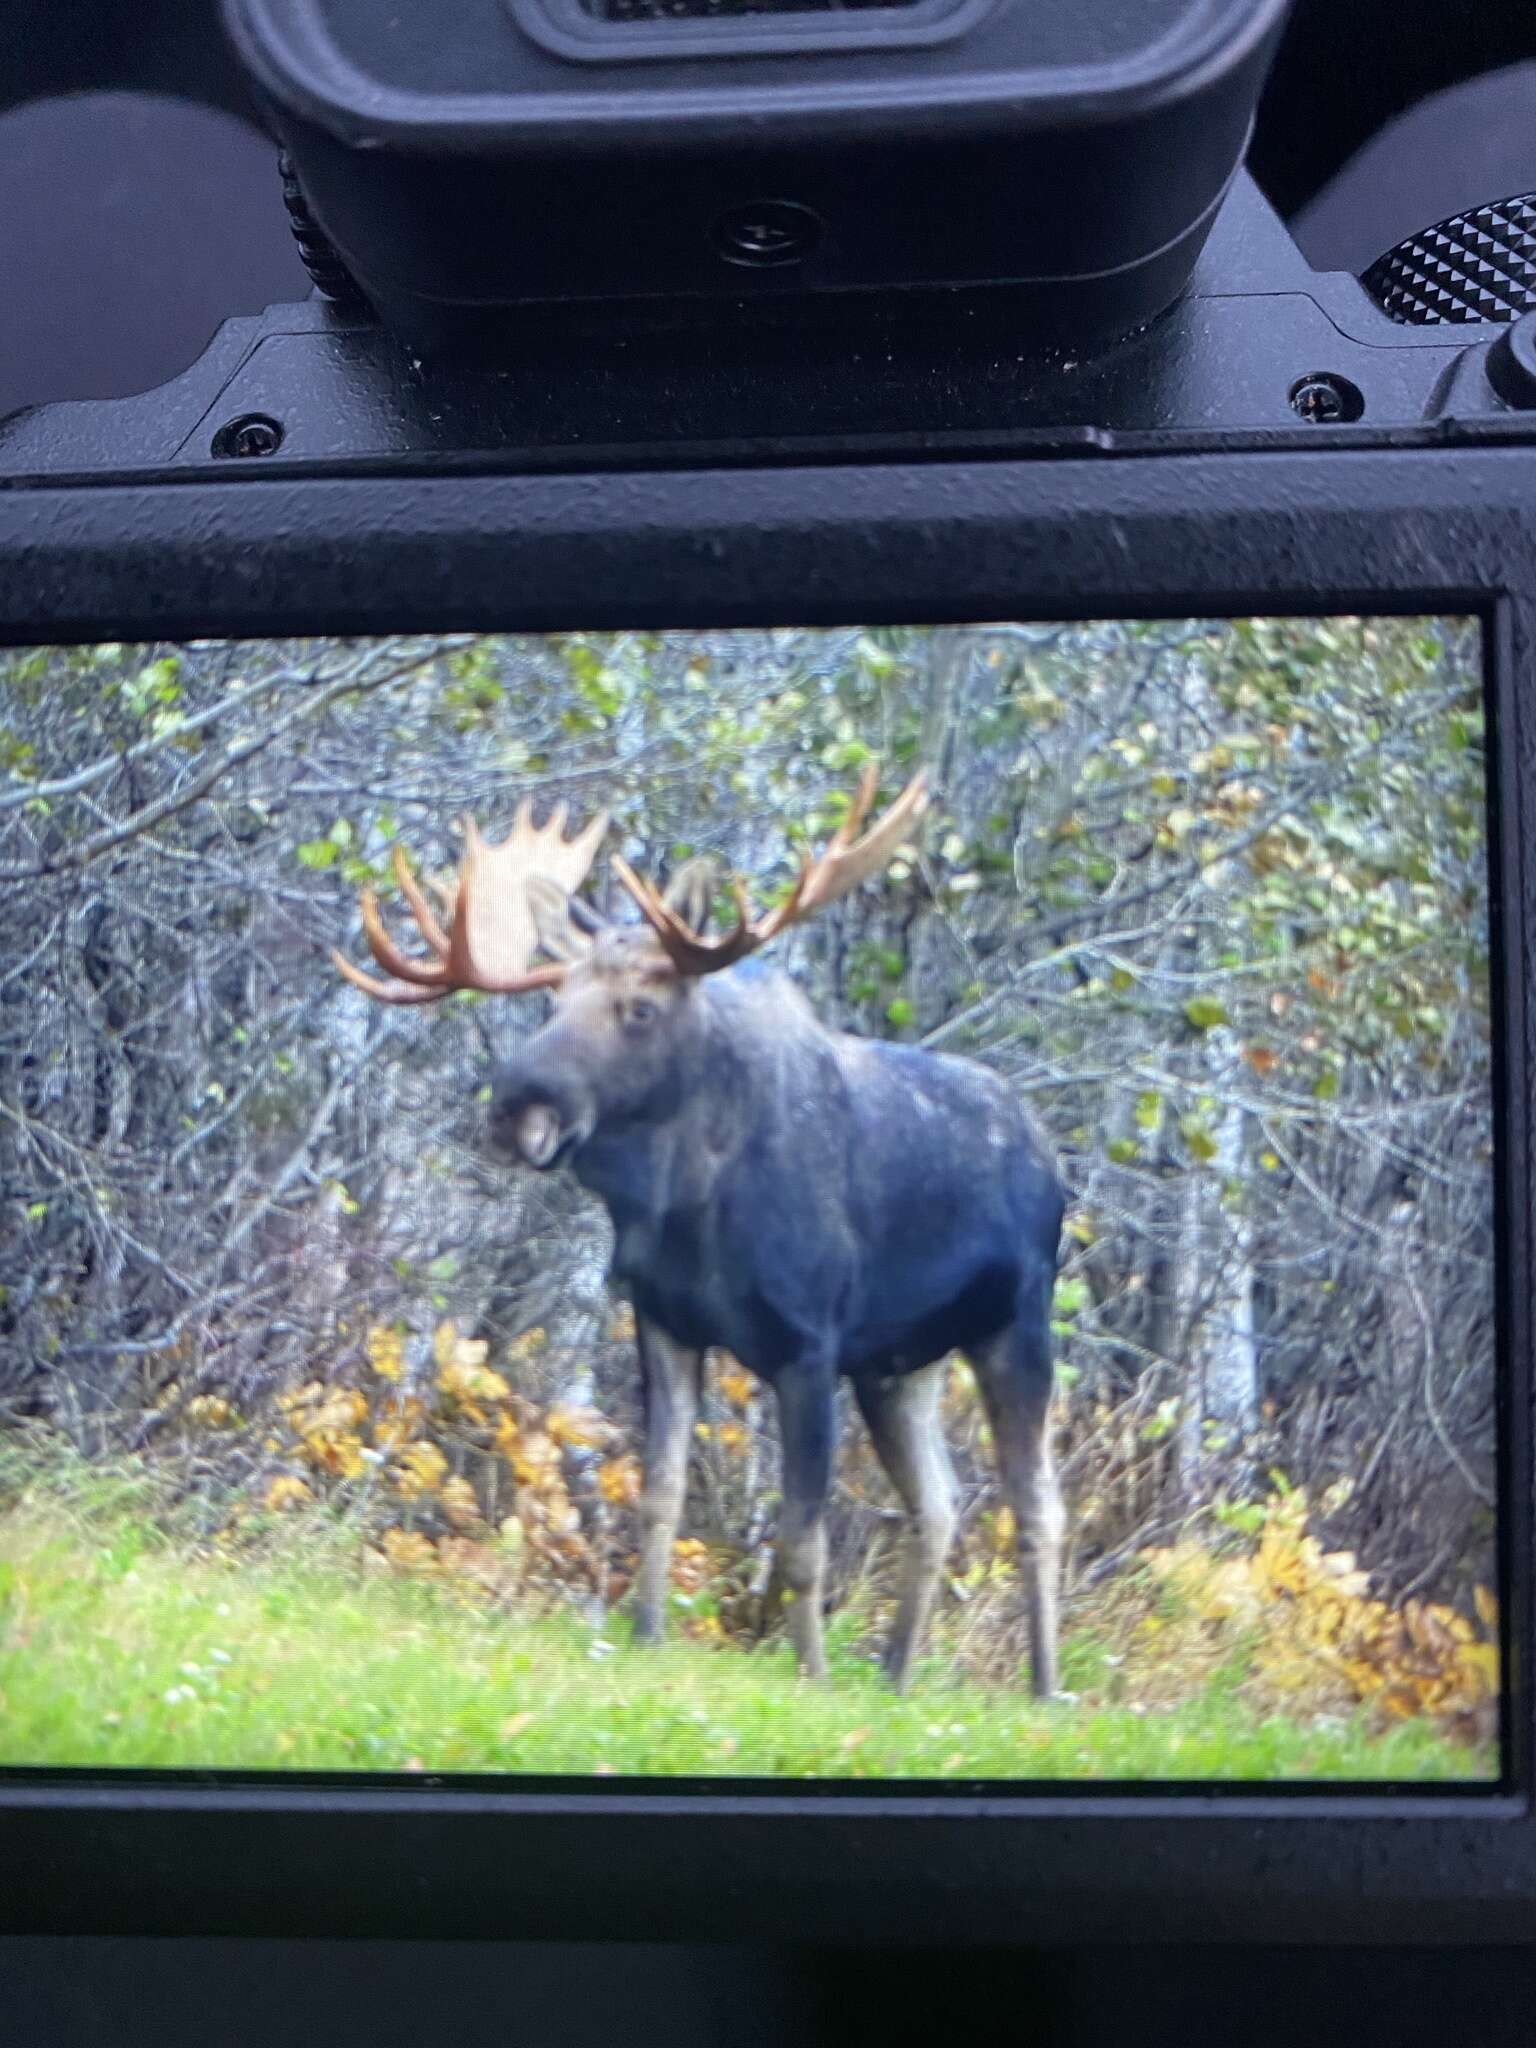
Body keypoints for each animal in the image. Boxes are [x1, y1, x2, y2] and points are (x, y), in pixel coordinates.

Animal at [331, 770, 1064, 1695]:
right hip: (899, 1366)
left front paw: (811, 1677)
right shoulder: (666, 1320)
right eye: (552, 997)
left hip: (1017, 1324)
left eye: (640, 1008)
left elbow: (800, 1540)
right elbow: (660, 1492)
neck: (687, 1211)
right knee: (940, 1500)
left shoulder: (809, 1344)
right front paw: (644, 1634)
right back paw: (896, 1675)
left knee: (1037, 1503)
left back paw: (1043, 1686)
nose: (515, 1108)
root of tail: (1048, 1153)